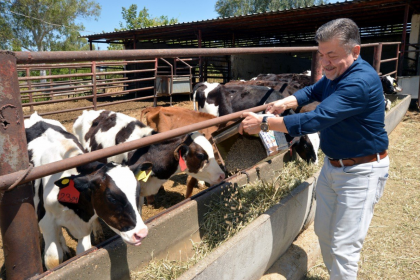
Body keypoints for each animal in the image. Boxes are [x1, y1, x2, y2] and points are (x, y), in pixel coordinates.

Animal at [25, 112, 149, 270]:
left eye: (137, 192)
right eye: (111, 198)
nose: (141, 233)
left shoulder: (84, 225)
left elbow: (83, 251)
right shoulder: (47, 221)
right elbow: (53, 260)